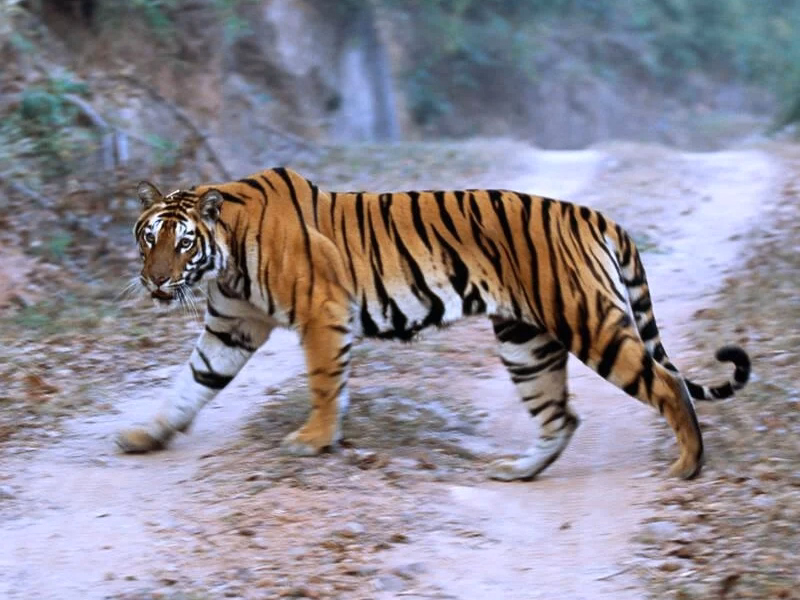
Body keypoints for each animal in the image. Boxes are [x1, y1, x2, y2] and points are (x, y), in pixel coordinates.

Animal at [116, 167, 750, 481]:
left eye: (183, 242)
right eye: (149, 238)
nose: (155, 281)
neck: (224, 262)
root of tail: (593, 214)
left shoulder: (323, 313)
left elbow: (323, 383)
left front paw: (314, 441)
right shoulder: (232, 328)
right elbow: (190, 385)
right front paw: (146, 435)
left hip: (586, 320)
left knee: (666, 383)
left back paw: (688, 466)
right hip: (524, 341)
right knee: (560, 416)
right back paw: (517, 472)